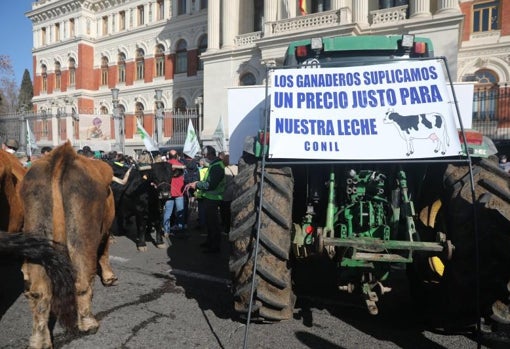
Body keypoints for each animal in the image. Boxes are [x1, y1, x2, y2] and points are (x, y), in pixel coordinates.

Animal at [20, 142, 117, 348]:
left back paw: (40, 340)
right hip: (82, 236)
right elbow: (104, 252)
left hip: (38, 230)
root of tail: (62, 155)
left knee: (40, 292)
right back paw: (88, 323)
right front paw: (110, 278)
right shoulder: (106, 231)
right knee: (82, 281)